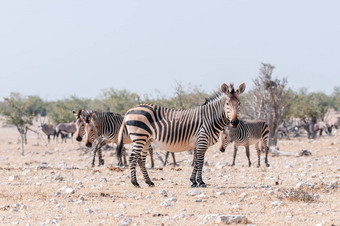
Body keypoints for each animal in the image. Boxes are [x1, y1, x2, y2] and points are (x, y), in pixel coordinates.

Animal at [116, 82, 244, 187]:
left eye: (239, 104)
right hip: (139, 137)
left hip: (146, 140)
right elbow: (200, 161)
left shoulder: (198, 144)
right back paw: (135, 183)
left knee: (141, 160)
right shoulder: (202, 141)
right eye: (227, 103)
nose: (235, 122)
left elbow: (196, 161)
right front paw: (201, 182)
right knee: (133, 158)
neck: (210, 118)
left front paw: (193, 181)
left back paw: (149, 182)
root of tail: (129, 110)